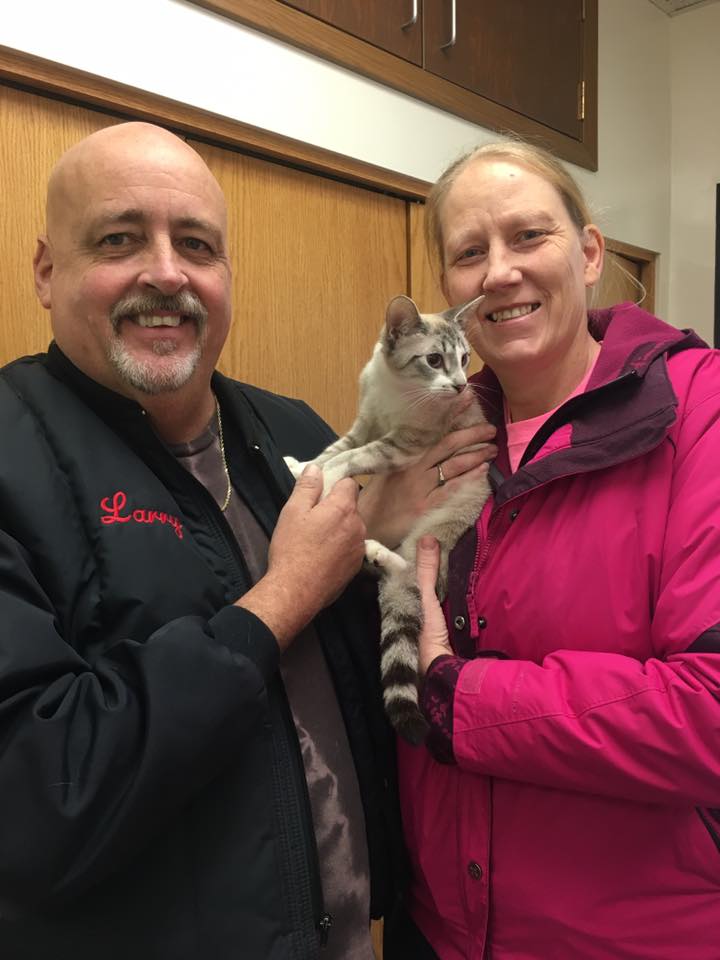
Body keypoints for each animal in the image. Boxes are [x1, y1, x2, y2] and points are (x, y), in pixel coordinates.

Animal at [284, 296, 492, 748]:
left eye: (465, 359)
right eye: (434, 359)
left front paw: (326, 478)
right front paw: (305, 467)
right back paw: (370, 550)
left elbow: (355, 458)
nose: (460, 386)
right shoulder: (364, 422)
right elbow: (337, 448)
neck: (396, 387)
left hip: (435, 533)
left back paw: (382, 553)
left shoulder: (403, 443)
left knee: (415, 572)